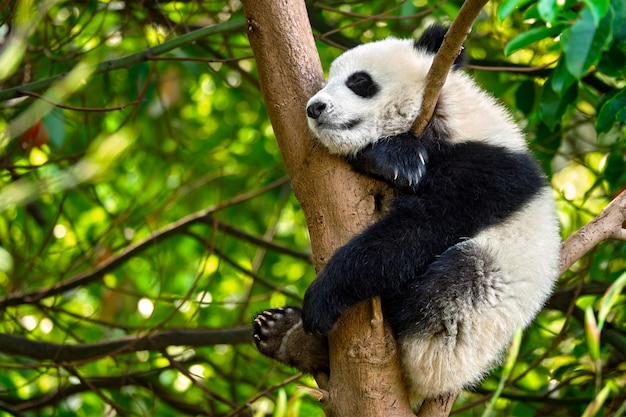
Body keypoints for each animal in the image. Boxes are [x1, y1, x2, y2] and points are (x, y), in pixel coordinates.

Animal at [251, 24, 560, 404]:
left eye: (359, 82)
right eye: (327, 82)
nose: (315, 107)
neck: (446, 114)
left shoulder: (486, 170)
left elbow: (421, 228)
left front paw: (323, 295)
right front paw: (390, 160)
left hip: (477, 312)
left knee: (454, 282)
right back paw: (284, 334)